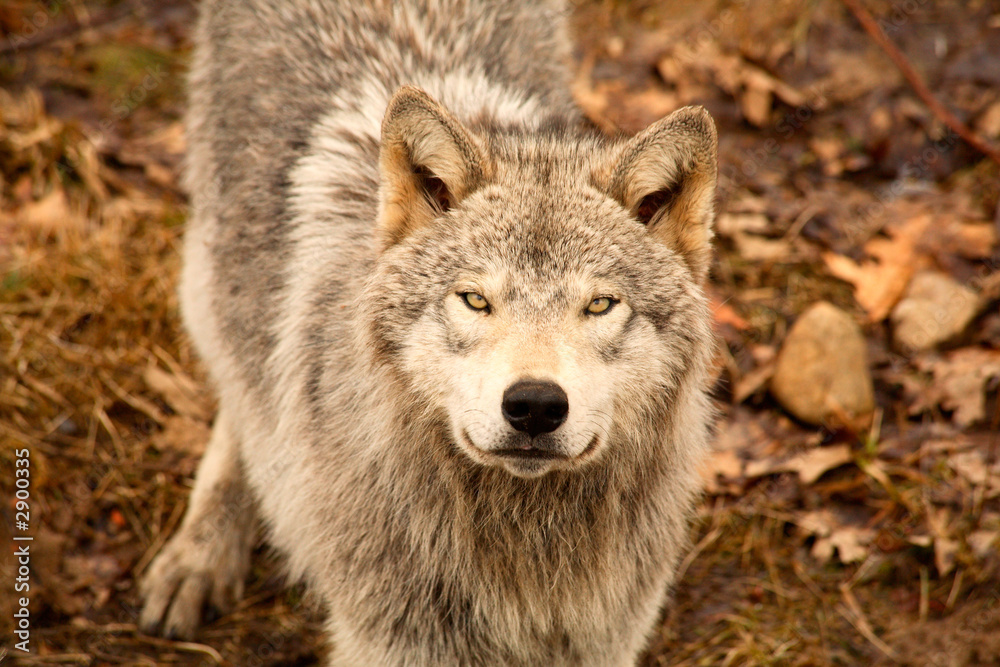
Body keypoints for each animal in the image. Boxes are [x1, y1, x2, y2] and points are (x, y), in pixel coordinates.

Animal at [141, 0, 720, 664]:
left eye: (599, 305)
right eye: (474, 300)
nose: (535, 405)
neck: (524, 551)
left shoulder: (605, 640)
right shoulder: (393, 640)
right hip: (209, 279)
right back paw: (203, 550)